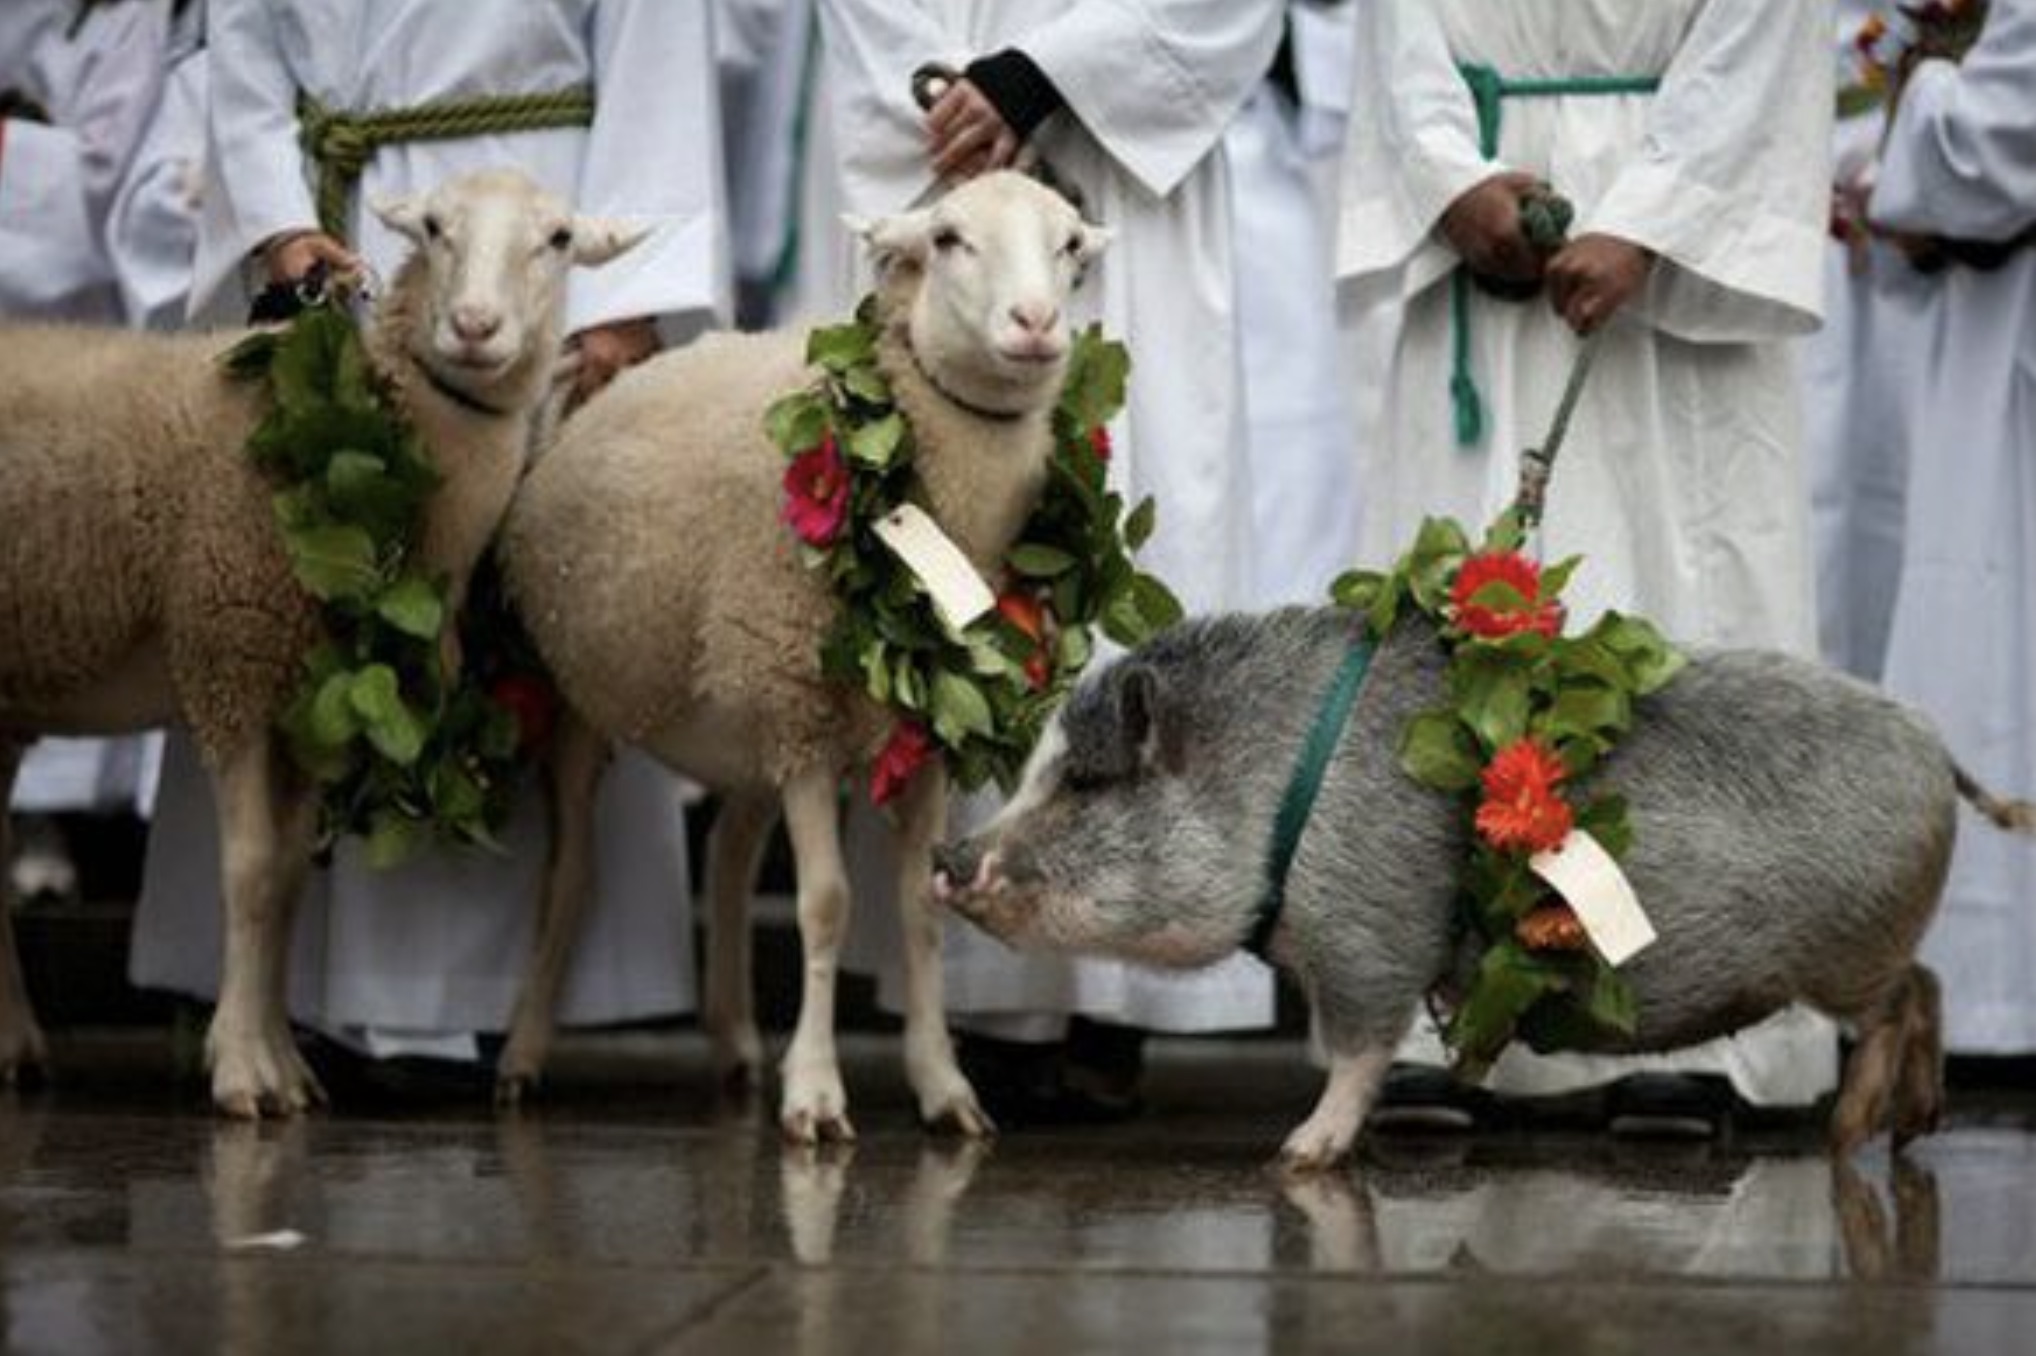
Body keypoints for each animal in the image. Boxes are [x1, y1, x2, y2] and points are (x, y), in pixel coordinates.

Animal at [0, 168, 643, 1115]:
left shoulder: (312, 706)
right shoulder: (229, 660)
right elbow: (249, 871)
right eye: (436, 228)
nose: (474, 327)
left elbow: (290, 881)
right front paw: (240, 1071)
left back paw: (17, 1043)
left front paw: (281, 1065)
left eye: (558, 239)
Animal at [500, 172, 1115, 1140]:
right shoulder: (803, 716)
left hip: (748, 714)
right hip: (589, 700)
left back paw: (734, 1043)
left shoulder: (921, 732)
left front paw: (943, 1085)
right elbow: (826, 904)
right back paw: (523, 1055)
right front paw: (816, 1093)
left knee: (726, 854)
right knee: (569, 878)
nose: (1035, 322)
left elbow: (919, 907)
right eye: (949, 239)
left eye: (1070, 248)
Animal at [932, 606, 2027, 1164]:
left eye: (1084, 782)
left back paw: (1851, 1133)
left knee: (1904, 1001)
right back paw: (1909, 1127)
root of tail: (1937, 751)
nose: (946, 861)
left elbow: (1358, 1051)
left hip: (1848, 951)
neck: (1281, 792)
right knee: (1928, 989)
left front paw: (1299, 1154)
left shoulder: (1369, 935)